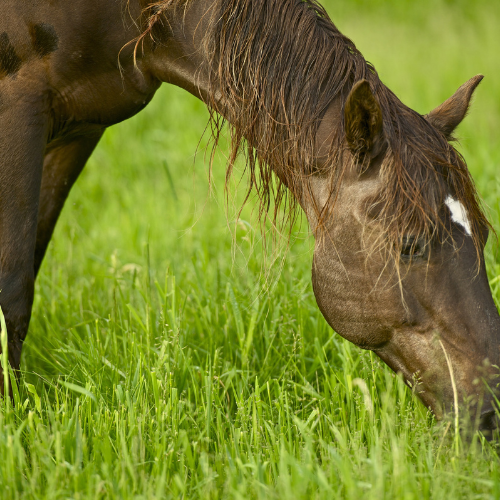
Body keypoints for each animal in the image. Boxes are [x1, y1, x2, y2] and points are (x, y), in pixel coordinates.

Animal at [0, 0, 498, 434]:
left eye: (483, 236)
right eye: (410, 244)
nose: (493, 403)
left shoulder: (78, 130)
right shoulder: (19, 108)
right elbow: (13, 291)